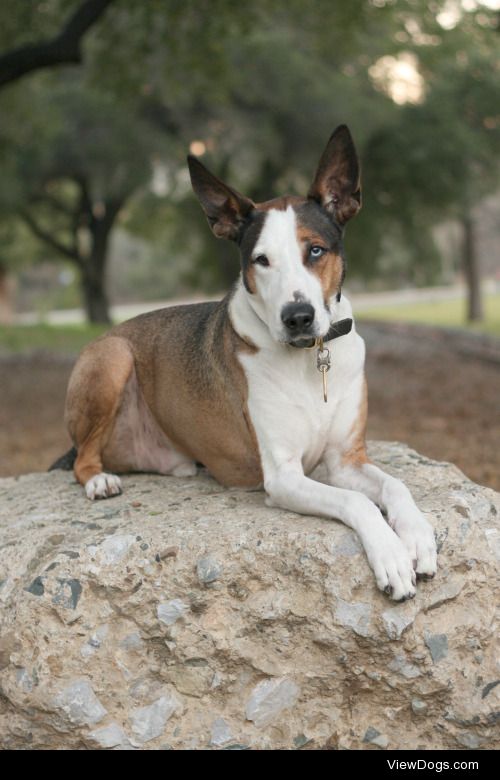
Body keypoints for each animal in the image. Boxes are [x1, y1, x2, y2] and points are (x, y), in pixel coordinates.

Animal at [56, 126, 436, 604]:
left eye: (315, 250)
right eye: (262, 260)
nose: (298, 317)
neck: (309, 357)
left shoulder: (344, 461)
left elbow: (394, 485)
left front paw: (417, 536)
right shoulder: (285, 477)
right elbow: (357, 502)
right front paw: (390, 555)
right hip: (112, 357)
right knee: (81, 459)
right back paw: (98, 481)